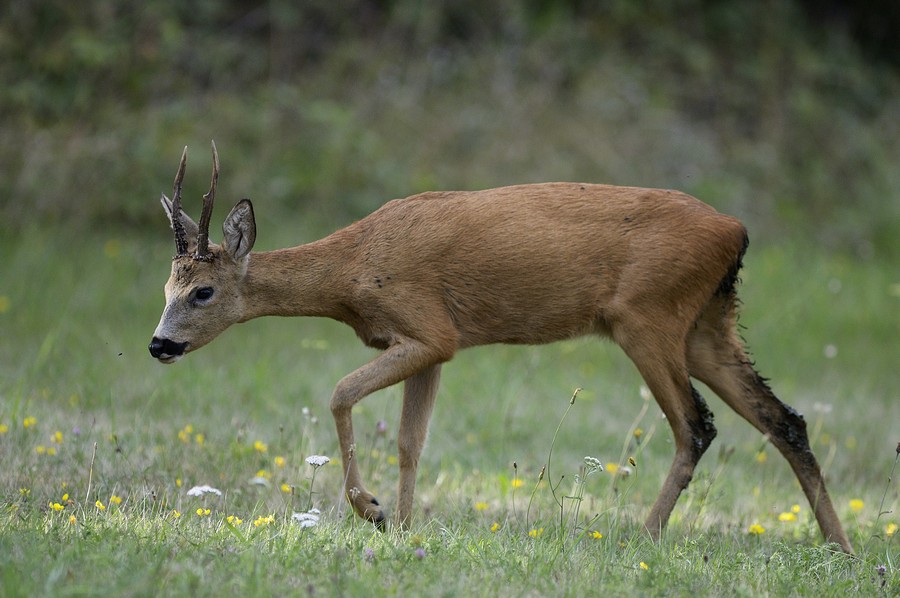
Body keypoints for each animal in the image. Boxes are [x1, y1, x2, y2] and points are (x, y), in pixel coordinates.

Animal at [149, 143, 852, 556]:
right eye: (165, 287)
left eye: (203, 291)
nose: (158, 344)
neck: (353, 269)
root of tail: (737, 231)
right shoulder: (432, 346)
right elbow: (410, 441)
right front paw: (403, 528)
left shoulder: (430, 329)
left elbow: (340, 392)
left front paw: (371, 511)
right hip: (708, 323)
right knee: (785, 420)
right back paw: (840, 548)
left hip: (648, 315)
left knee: (696, 424)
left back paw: (640, 539)